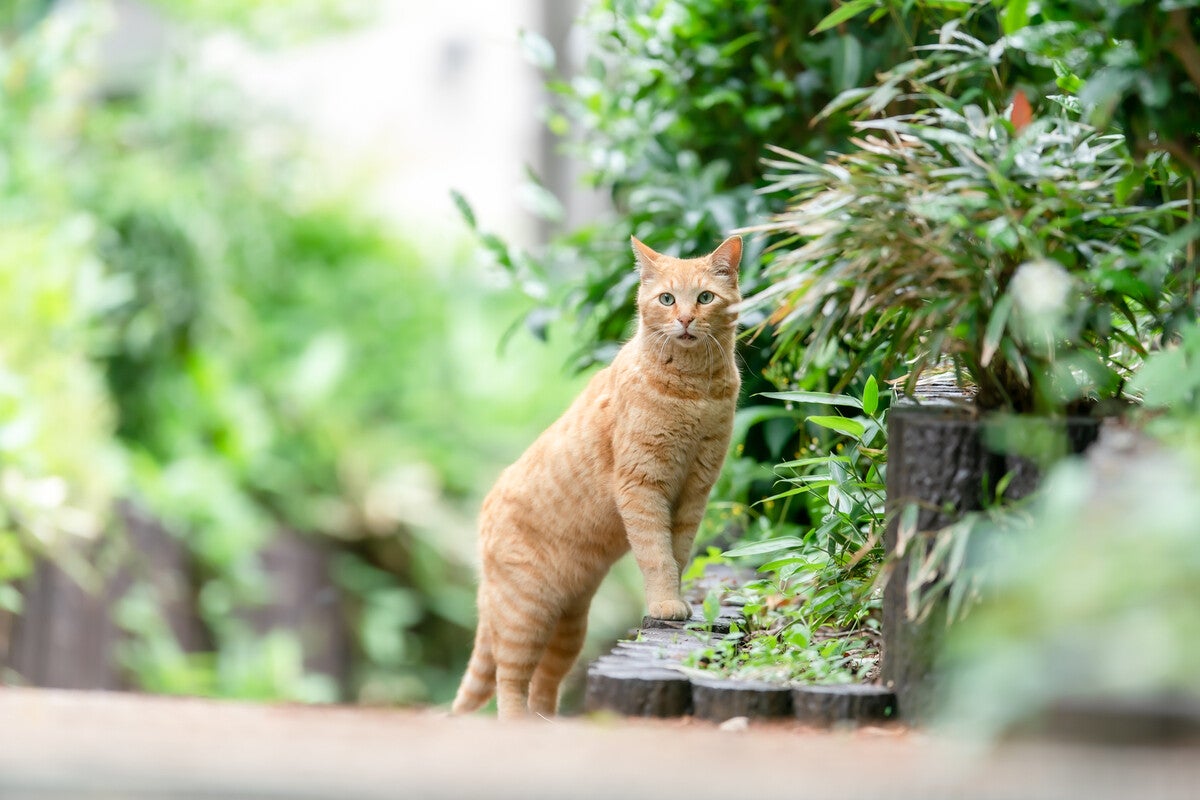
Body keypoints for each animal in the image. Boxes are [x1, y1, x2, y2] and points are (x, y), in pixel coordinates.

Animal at [451, 235, 739, 714]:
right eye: (667, 299)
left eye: (704, 298)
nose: (684, 319)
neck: (694, 389)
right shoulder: (642, 485)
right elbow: (657, 555)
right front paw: (666, 603)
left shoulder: (695, 490)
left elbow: (678, 553)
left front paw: (676, 599)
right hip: (525, 614)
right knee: (509, 684)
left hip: (569, 626)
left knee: (543, 685)